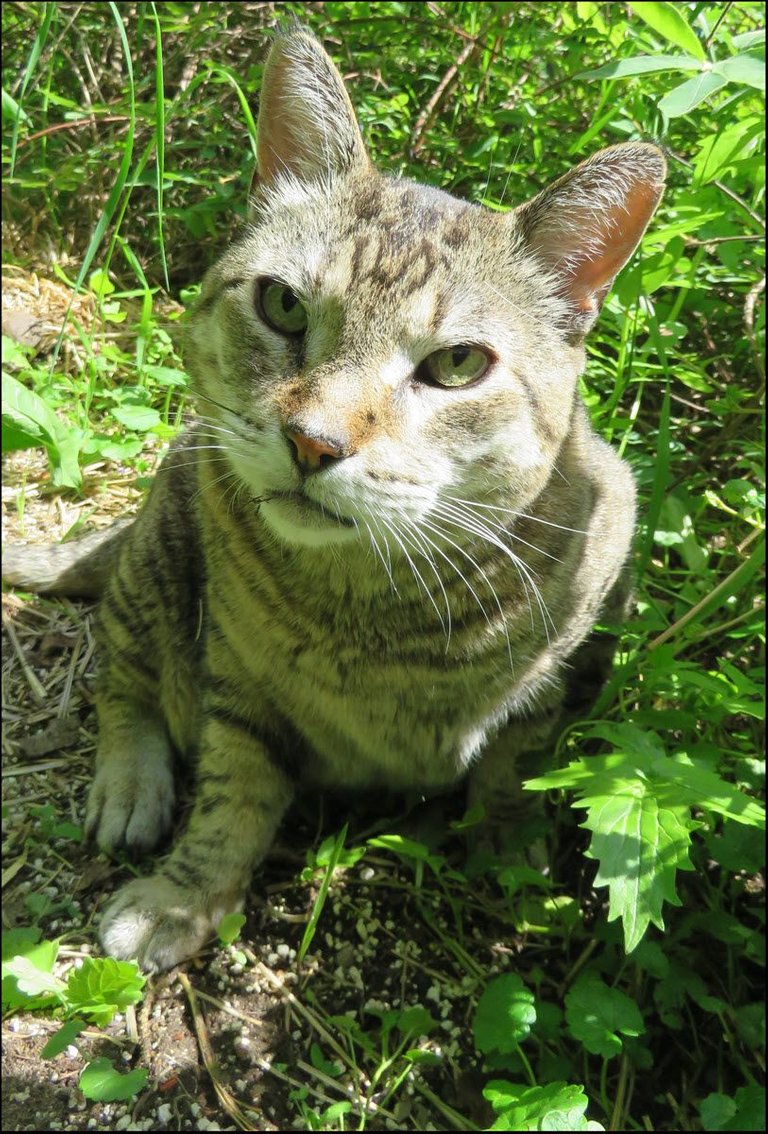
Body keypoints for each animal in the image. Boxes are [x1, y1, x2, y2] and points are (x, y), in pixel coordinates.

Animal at [2, 26, 667, 970]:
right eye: (283, 304)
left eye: (457, 364)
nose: (314, 442)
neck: (373, 614)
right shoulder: (237, 681)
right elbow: (233, 793)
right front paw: (187, 895)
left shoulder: (576, 638)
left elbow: (516, 760)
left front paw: (509, 846)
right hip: (163, 541)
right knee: (121, 676)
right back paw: (131, 782)